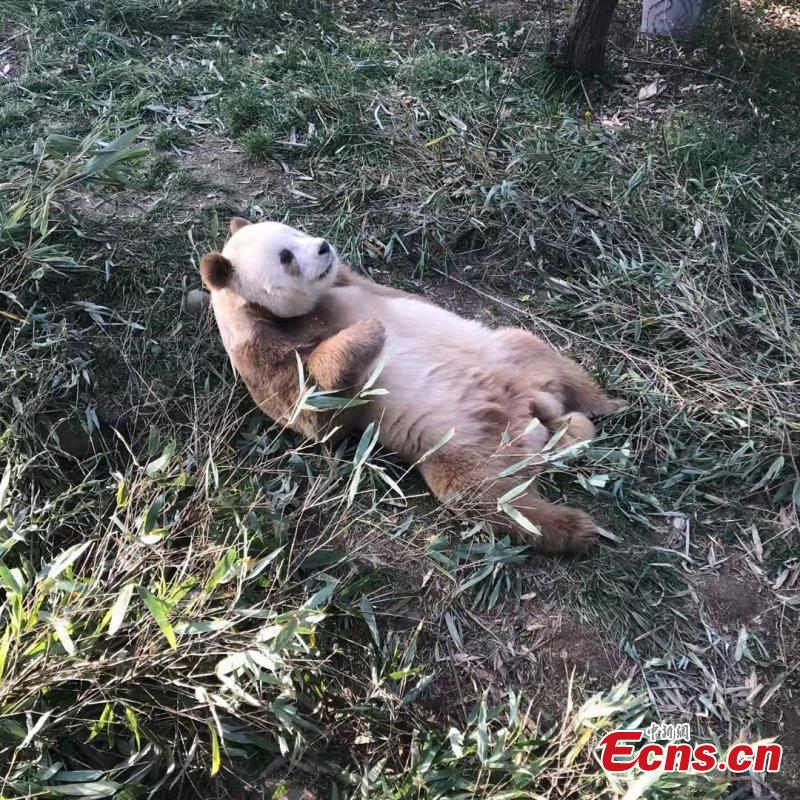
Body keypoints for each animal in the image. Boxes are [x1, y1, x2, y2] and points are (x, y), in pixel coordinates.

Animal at [200, 217, 624, 554]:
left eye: (295, 231)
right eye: (285, 256)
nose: (324, 247)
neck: (286, 315)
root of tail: (531, 415)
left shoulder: (352, 283)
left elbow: (393, 294)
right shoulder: (259, 351)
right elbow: (313, 409)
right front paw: (370, 332)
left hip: (510, 354)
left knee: (554, 364)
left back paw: (610, 407)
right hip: (463, 444)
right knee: (490, 497)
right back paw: (576, 528)